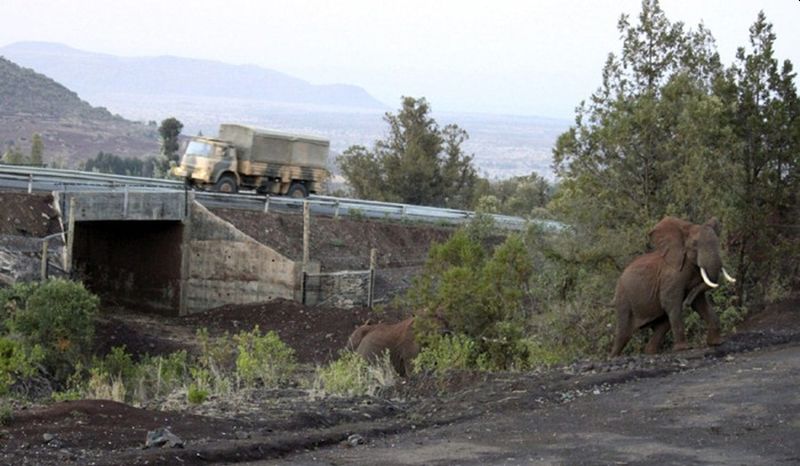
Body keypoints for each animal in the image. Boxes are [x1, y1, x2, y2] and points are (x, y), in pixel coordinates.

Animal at [612, 218, 736, 356]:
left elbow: (700, 303)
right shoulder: (671, 276)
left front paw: (716, 343)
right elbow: (670, 302)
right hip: (624, 300)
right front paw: (684, 349)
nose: (687, 302)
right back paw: (613, 356)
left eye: (717, 242)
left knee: (663, 324)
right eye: (695, 244)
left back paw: (650, 353)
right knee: (623, 334)